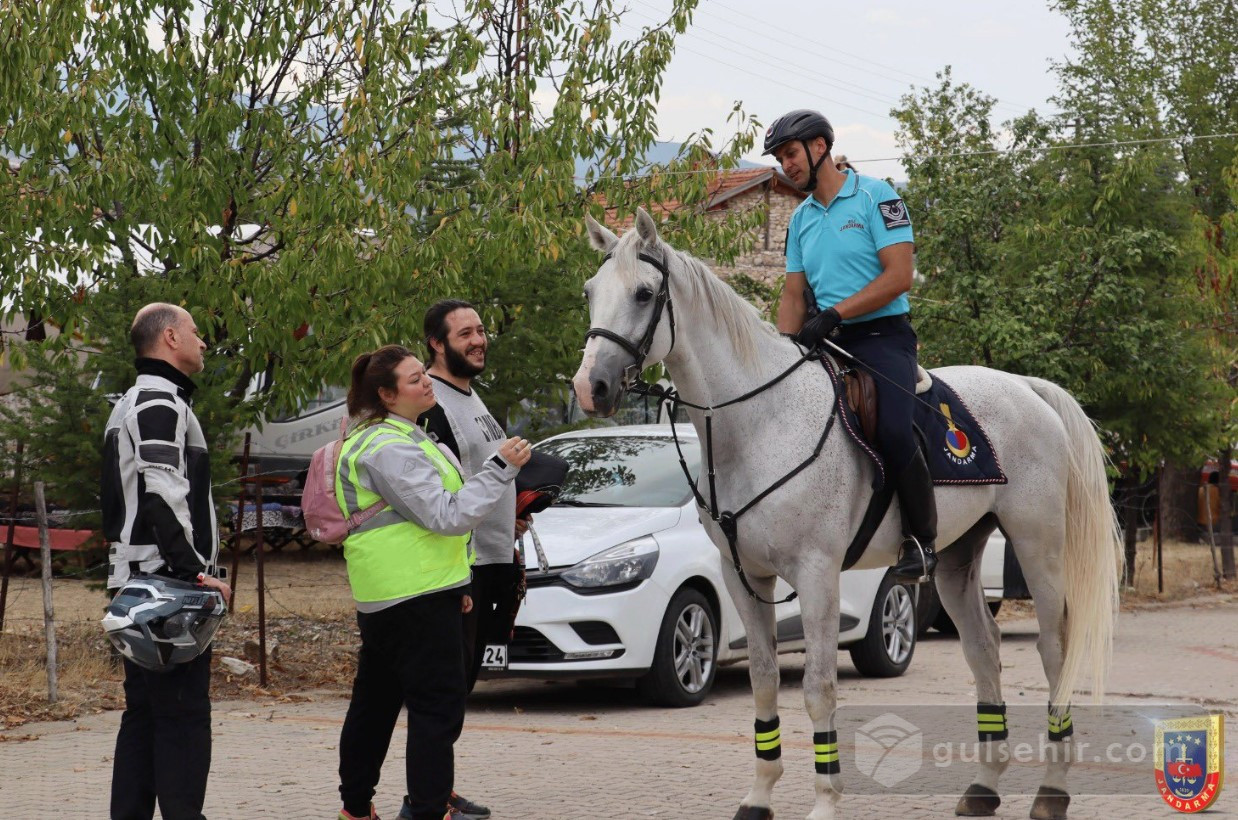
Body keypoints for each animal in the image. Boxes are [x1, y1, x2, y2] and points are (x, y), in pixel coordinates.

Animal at [569, 209, 1124, 820]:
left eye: (644, 293)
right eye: (591, 292)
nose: (589, 387)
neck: (761, 422)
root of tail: (1026, 388)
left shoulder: (816, 575)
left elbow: (818, 688)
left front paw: (826, 802)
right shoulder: (745, 577)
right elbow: (764, 679)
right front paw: (759, 796)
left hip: (1038, 545)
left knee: (1055, 651)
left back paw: (1052, 791)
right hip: (956, 558)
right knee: (984, 650)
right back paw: (984, 786)